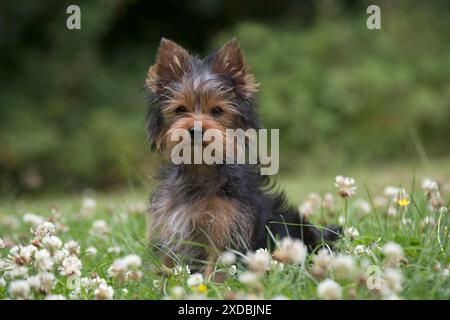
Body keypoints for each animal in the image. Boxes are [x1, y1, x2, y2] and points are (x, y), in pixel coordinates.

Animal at [145, 37, 342, 272]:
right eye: (180, 110)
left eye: (217, 111)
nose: (195, 130)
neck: (201, 169)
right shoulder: (172, 224)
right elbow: (168, 260)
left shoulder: (226, 227)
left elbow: (216, 266)